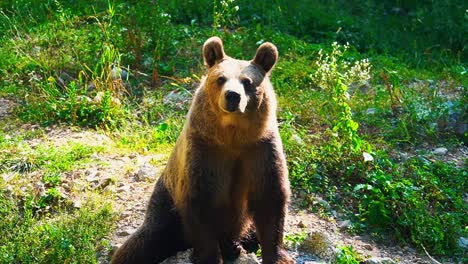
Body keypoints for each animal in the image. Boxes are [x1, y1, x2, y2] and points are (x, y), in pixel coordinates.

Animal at [111, 37, 292, 264]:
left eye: (247, 81)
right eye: (221, 78)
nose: (232, 96)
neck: (232, 136)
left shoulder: (260, 148)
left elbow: (270, 199)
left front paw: (277, 256)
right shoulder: (204, 150)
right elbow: (200, 201)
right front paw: (209, 256)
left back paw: (235, 246)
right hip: (163, 211)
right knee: (141, 244)